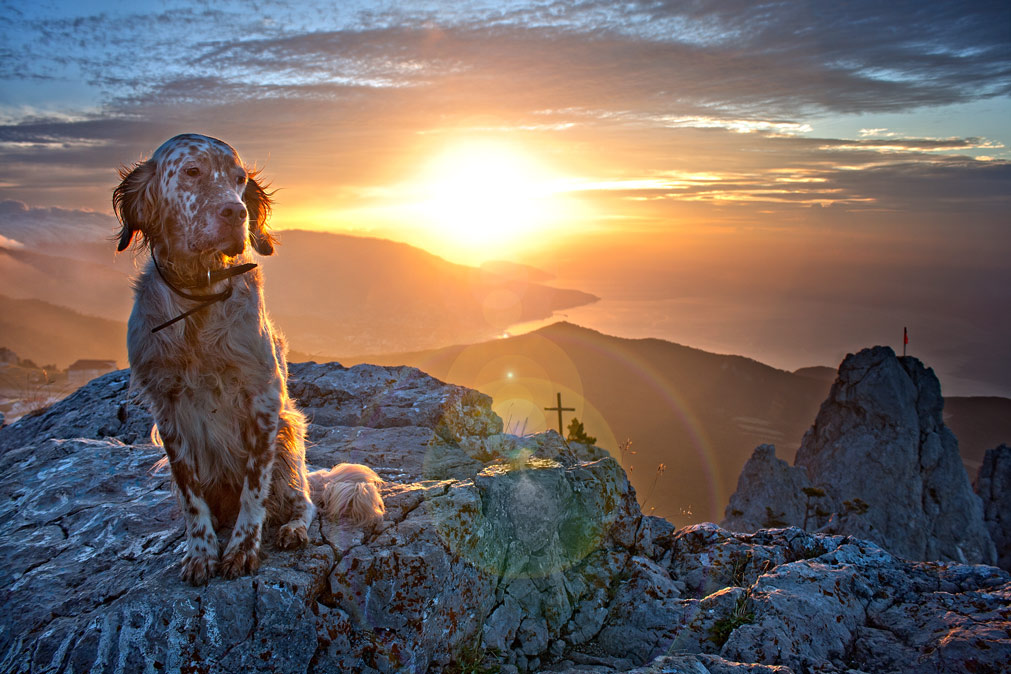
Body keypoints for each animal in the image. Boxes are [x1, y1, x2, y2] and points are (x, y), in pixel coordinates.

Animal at [115, 133, 386, 586]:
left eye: (239, 179)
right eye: (192, 171)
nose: (236, 212)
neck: (199, 297)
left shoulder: (263, 399)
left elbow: (254, 490)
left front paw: (243, 548)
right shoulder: (166, 408)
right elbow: (190, 495)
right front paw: (200, 552)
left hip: (289, 436)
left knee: (304, 501)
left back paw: (293, 528)